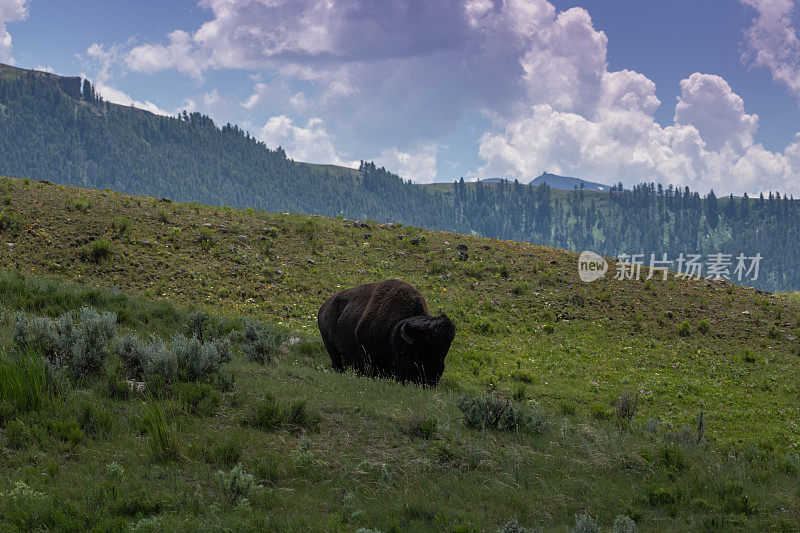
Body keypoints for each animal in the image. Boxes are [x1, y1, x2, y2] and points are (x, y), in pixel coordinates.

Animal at [318, 278, 456, 386]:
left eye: (444, 353)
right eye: (418, 353)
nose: (432, 380)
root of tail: (323, 306)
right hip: (330, 346)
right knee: (337, 362)